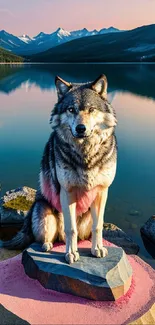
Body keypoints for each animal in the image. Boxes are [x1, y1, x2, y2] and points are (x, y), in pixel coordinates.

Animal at [1, 74, 117, 264]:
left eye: (91, 109)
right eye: (71, 109)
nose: (81, 128)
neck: (85, 152)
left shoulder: (102, 191)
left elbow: (98, 226)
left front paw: (97, 248)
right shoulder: (67, 191)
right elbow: (70, 229)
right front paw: (71, 253)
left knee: (75, 235)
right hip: (43, 210)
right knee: (47, 238)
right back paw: (48, 246)